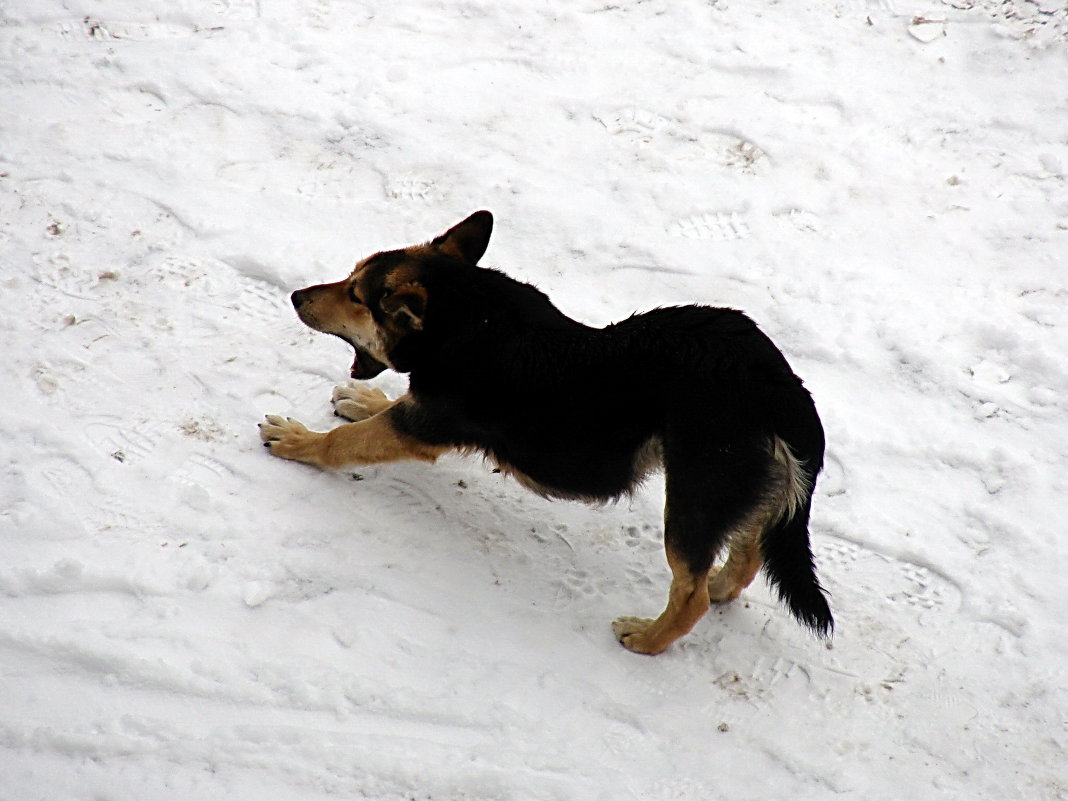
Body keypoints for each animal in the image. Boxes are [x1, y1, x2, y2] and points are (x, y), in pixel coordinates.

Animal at [260, 210, 833, 653]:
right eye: (351, 278)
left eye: (356, 295)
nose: (296, 296)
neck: (466, 314)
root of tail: (784, 394)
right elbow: (385, 408)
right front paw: (363, 401)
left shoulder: (424, 423)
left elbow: (346, 442)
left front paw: (298, 441)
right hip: (731, 490)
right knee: (748, 552)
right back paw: (720, 584)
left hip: (694, 495)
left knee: (690, 594)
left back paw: (648, 639)